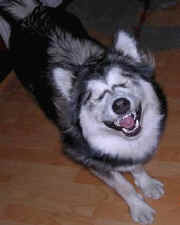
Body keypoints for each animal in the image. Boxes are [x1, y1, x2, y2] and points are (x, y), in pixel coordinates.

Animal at [0, 0, 167, 224]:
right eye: (95, 97)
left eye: (123, 82)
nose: (120, 104)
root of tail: (30, 12)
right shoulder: (90, 160)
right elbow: (123, 186)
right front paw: (138, 206)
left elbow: (137, 165)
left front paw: (146, 182)